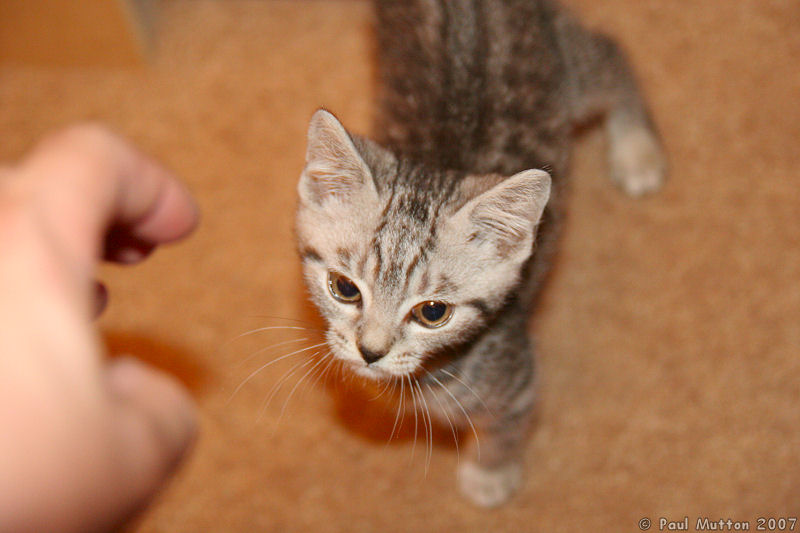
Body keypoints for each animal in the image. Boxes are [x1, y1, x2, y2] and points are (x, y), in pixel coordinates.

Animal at [294, 0, 664, 508]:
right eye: (344, 288)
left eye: (433, 313)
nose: (370, 352)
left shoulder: (517, 380)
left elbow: (505, 427)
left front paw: (490, 473)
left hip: (567, 70)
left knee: (608, 54)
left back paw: (636, 148)